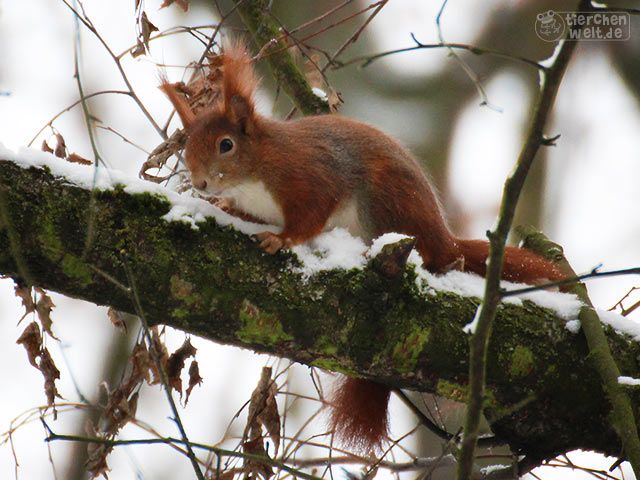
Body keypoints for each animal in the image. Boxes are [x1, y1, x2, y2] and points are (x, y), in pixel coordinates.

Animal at [160, 40, 564, 454]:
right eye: (187, 145)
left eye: (226, 145)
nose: (200, 183)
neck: (255, 174)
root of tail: (442, 234)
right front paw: (226, 208)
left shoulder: (310, 178)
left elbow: (309, 218)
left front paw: (281, 238)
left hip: (384, 203)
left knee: (434, 255)